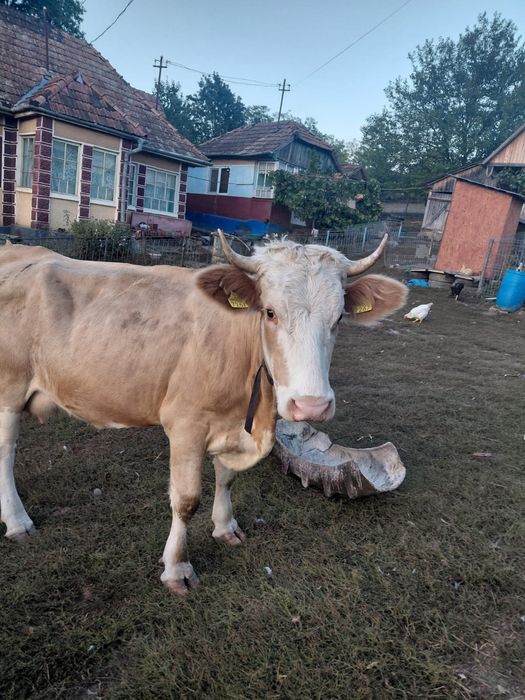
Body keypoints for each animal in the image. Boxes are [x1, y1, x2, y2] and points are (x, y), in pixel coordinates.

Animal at [0, 232, 407, 595]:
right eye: (270, 312)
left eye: (338, 319)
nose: (311, 405)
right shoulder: (185, 425)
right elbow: (186, 500)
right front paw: (177, 568)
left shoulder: (233, 425)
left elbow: (226, 478)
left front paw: (226, 527)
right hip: (9, 388)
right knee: (5, 452)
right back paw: (17, 521)